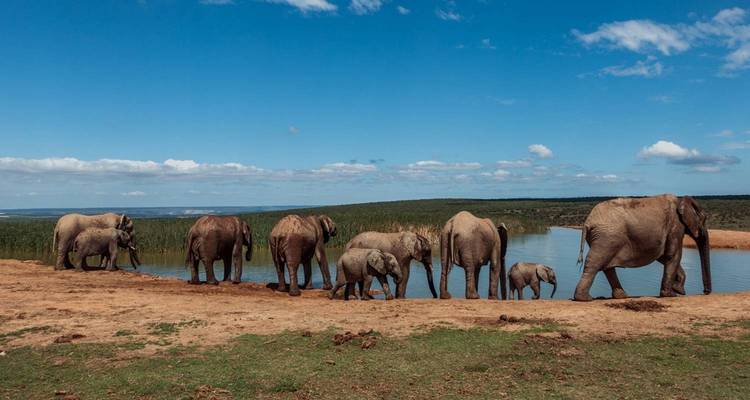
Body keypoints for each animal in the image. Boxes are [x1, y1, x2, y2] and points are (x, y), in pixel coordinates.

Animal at [573, 194, 710, 301]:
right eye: (704, 219)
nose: (705, 292)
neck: (681, 199)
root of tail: (588, 222)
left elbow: (663, 256)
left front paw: (678, 290)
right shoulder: (676, 225)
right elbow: (673, 254)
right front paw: (672, 294)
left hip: (604, 238)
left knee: (607, 267)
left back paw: (621, 296)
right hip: (606, 237)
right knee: (595, 263)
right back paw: (585, 298)